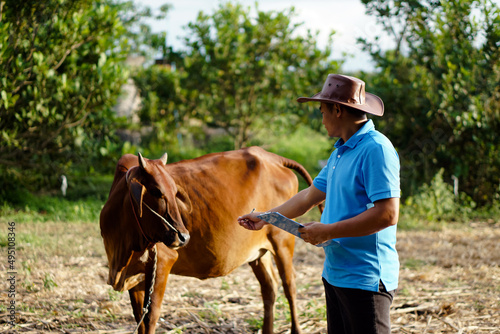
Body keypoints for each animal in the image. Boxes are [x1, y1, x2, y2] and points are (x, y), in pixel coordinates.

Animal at [100, 147, 318, 334]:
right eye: (156, 191)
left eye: (175, 192)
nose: (183, 237)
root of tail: (272, 157)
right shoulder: (137, 274)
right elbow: (139, 318)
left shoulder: (162, 261)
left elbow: (150, 316)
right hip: (258, 253)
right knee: (269, 287)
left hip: (283, 241)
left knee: (290, 286)